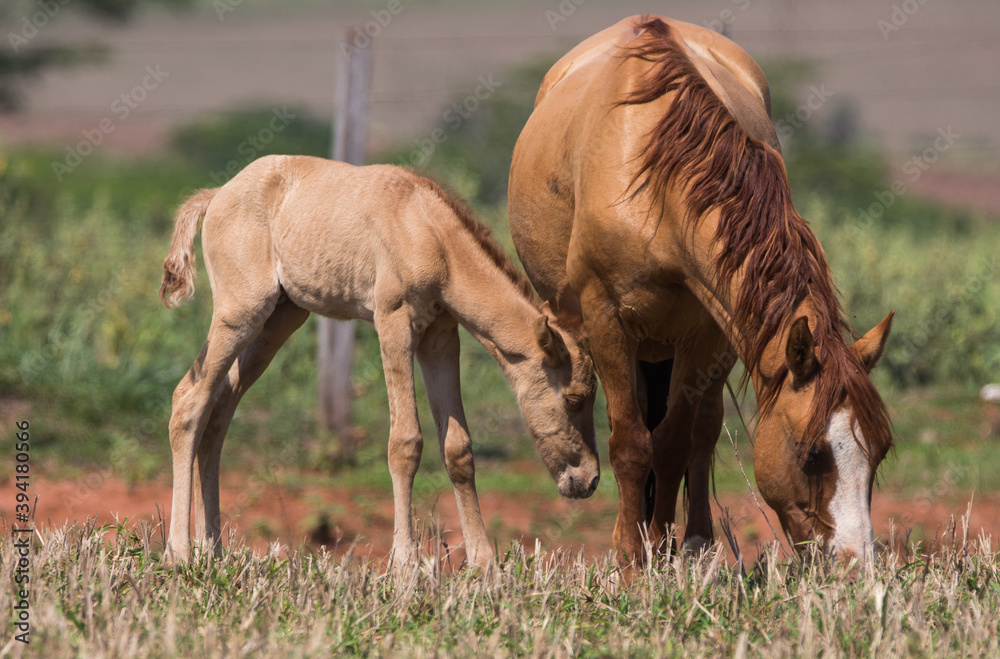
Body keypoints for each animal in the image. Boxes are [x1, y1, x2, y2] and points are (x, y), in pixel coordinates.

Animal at [158, 155, 599, 571]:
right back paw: (179, 552)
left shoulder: (440, 336)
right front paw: (404, 565)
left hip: (280, 318)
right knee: (189, 400)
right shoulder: (394, 322)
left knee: (219, 410)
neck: (429, 232)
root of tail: (216, 195)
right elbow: (405, 442)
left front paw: (484, 565)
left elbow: (458, 448)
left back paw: (212, 549)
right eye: (574, 399)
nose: (590, 479)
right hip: (241, 311)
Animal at [508, 16, 894, 563]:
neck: (653, 186)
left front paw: (663, 549)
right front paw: (633, 559)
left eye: (879, 451)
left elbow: (673, 441)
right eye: (811, 453)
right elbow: (632, 443)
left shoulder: (705, 333)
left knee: (703, 429)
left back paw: (692, 543)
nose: (856, 566)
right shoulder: (607, 322)